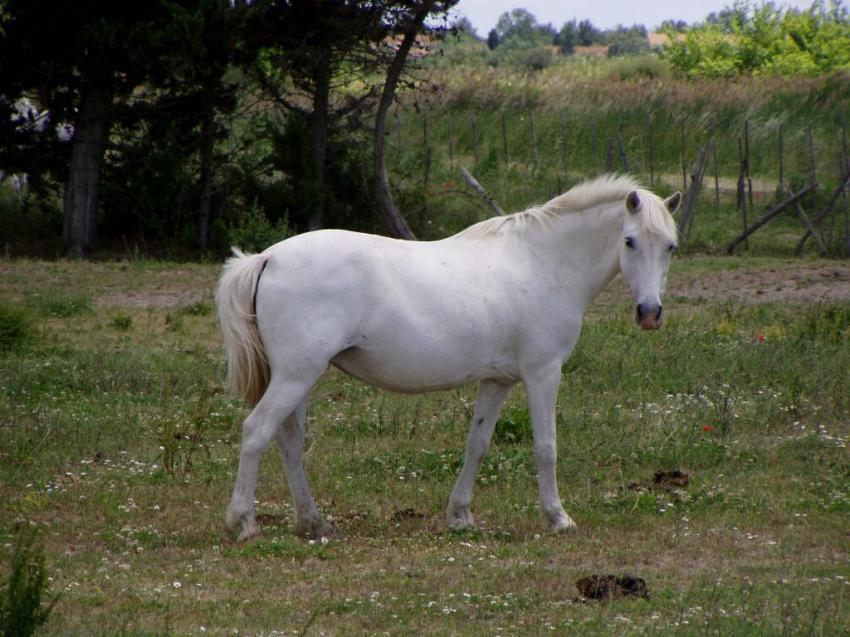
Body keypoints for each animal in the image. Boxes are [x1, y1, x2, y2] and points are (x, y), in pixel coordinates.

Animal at [215, 174, 681, 541]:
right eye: (629, 241)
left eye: (671, 247)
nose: (650, 313)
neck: (542, 261)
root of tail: (268, 257)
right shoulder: (543, 373)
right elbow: (546, 446)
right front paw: (557, 518)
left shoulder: (498, 381)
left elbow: (477, 444)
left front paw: (459, 515)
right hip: (296, 375)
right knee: (257, 432)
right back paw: (245, 523)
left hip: (301, 377)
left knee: (289, 441)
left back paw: (314, 523)